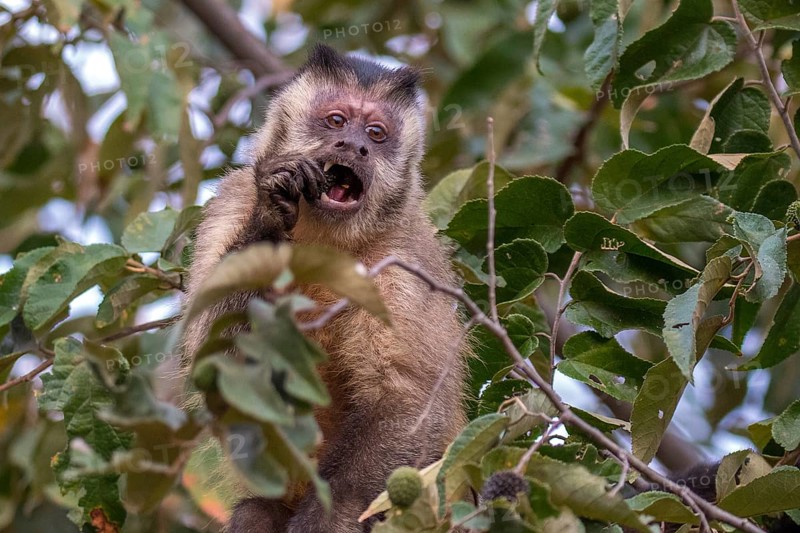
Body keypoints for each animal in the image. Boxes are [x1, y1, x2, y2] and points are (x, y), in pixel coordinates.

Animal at [181, 44, 469, 533]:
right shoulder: (231, 202)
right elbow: (213, 357)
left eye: (376, 134)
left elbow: (408, 401)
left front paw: (331, 517)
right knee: (255, 513)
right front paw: (273, 208)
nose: (354, 146)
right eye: (336, 121)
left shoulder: (404, 258)